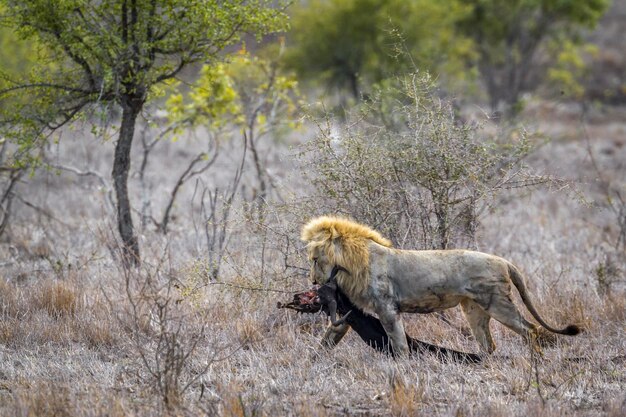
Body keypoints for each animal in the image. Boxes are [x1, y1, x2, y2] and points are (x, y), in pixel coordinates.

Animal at [300, 214, 576, 354]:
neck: (351, 265)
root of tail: (505, 261)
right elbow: (327, 338)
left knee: (530, 330)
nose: (313, 281)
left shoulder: (388, 309)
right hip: (473, 310)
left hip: (499, 304)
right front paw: (313, 364)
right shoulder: (350, 312)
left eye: (314, 259)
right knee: (488, 345)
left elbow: (399, 344)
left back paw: (535, 363)